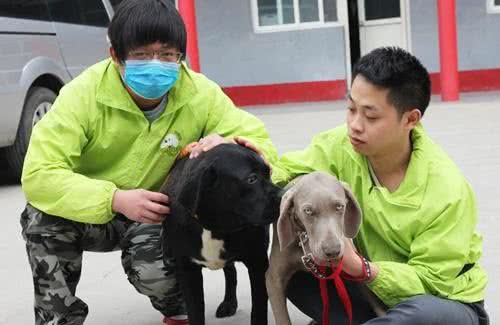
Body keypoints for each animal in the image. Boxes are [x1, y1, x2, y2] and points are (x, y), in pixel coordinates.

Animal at [160, 144, 282, 324]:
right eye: (251, 179)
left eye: (268, 173)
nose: (284, 194)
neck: (215, 227)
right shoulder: (187, 270)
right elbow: (195, 311)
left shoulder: (258, 262)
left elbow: (258, 309)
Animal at [266, 171, 382, 322]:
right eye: (308, 211)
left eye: (339, 206)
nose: (332, 251)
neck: (304, 240)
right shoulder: (273, 278)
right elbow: (282, 317)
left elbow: (374, 298)